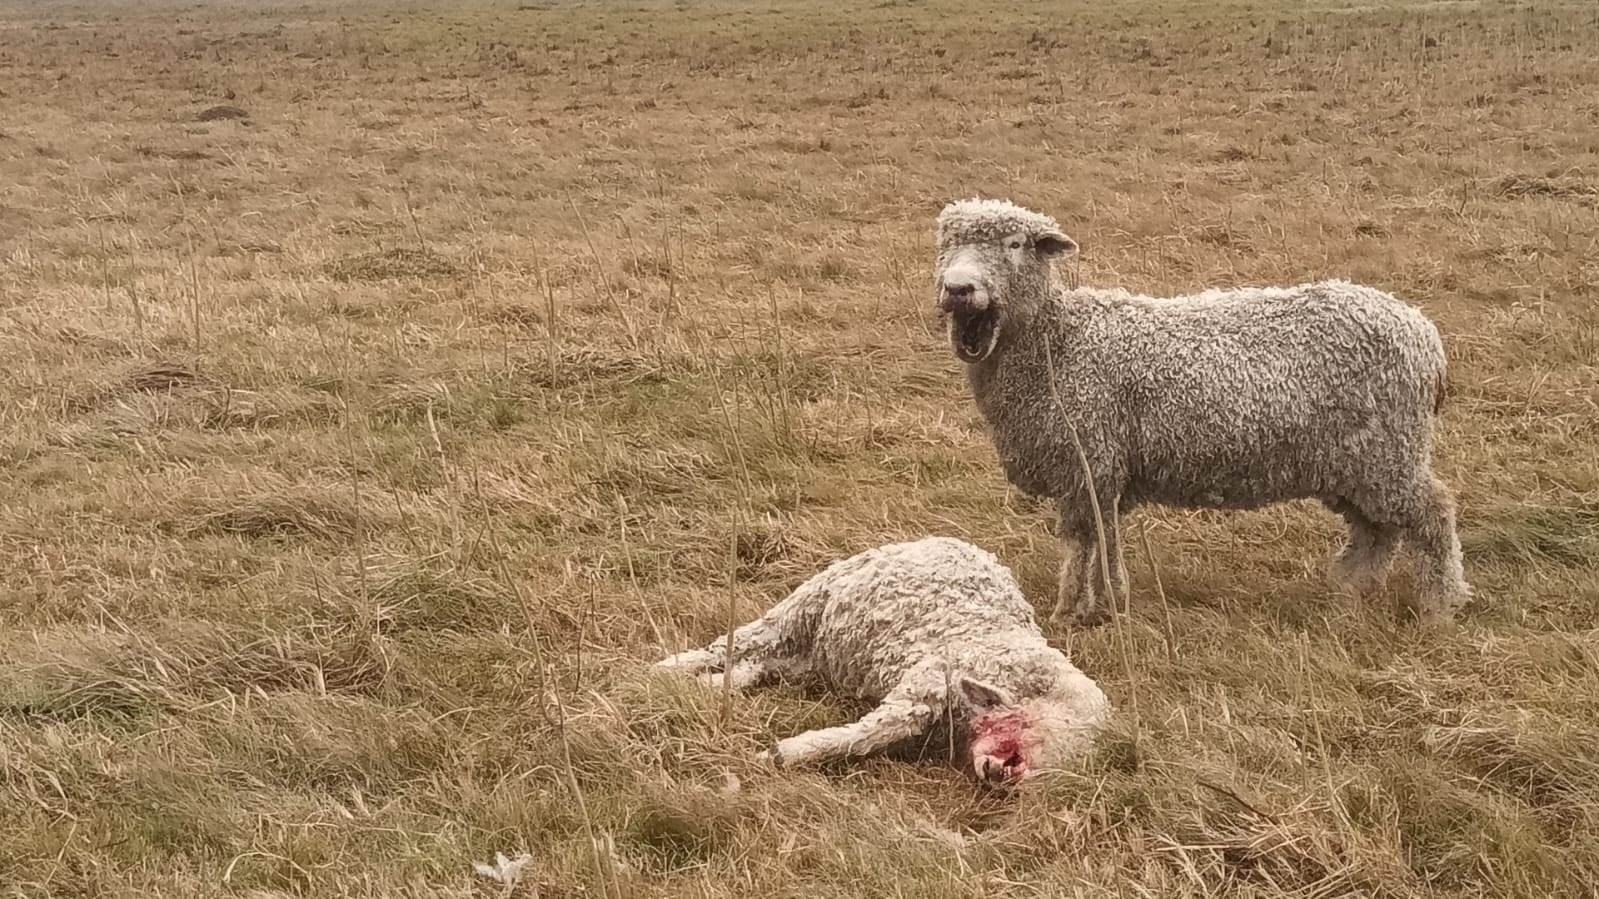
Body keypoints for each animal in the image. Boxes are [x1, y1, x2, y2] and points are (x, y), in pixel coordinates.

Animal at [655, 536, 1110, 785]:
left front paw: (780, 752)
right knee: (736, 643)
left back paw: (711, 685)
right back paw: (667, 670)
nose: (1002, 777)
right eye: (1025, 728)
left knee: (765, 664)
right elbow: (863, 735)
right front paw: (781, 754)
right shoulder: (923, 690)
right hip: (810, 601)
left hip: (822, 652)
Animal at [932, 197, 1471, 628]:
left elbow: (1084, 542)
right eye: (946, 243)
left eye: (1015, 244)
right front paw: (1101, 604)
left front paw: (1075, 611)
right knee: (1375, 530)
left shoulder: (1090, 459)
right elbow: (1099, 541)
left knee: (1434, 515)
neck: (1058, 341)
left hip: (1390, 449)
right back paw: (1348, 589)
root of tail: (1423, 332)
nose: (958, 288)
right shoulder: (1096, 473)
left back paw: (1441, 604)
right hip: (1359, 462)